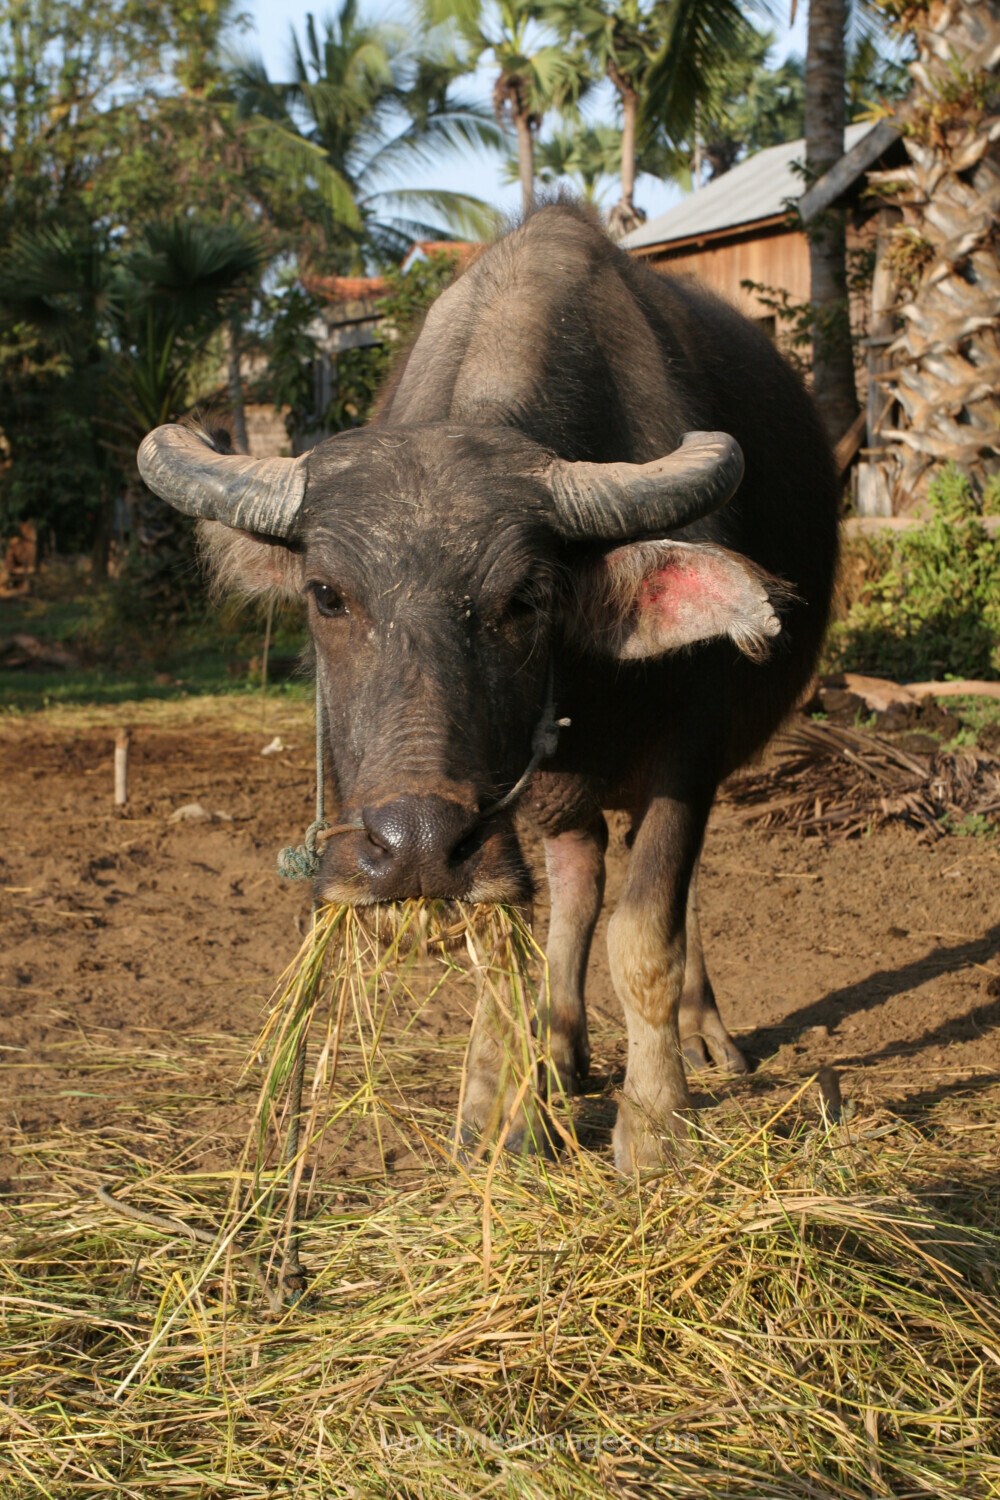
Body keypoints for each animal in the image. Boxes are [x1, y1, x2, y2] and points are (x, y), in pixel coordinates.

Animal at [138, 203, 838, 1170]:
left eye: (526, 598)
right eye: (326, 594)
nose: (418, 846)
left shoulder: (689, 754)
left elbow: (646, 934)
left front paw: (655, 1125)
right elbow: (506, 936)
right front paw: (493, 1111)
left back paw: (702, 1039)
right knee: (574, 885)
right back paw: (557, 1052)